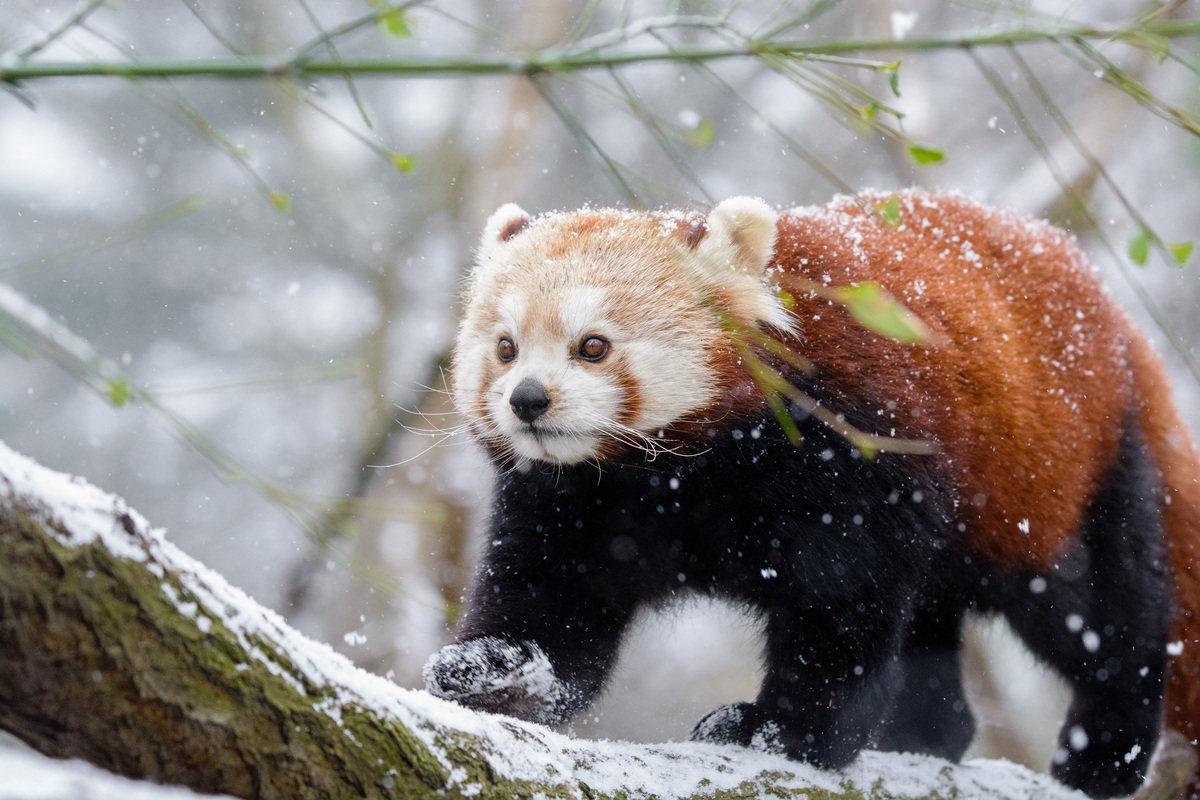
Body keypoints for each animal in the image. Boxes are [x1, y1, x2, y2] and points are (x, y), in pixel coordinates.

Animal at [422, 190, 1200, 796]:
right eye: (505, 348)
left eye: (593, 346)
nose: (527, 400)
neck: (676, 478)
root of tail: (1118, 324)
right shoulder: (579, 501)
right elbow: (556, 603)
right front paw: (499, 672)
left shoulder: (852, 455)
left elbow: (840, 612)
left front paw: (779, 729)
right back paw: (924, 737)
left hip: (1059, 477)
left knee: (1101, 610)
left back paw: (1106, 753)